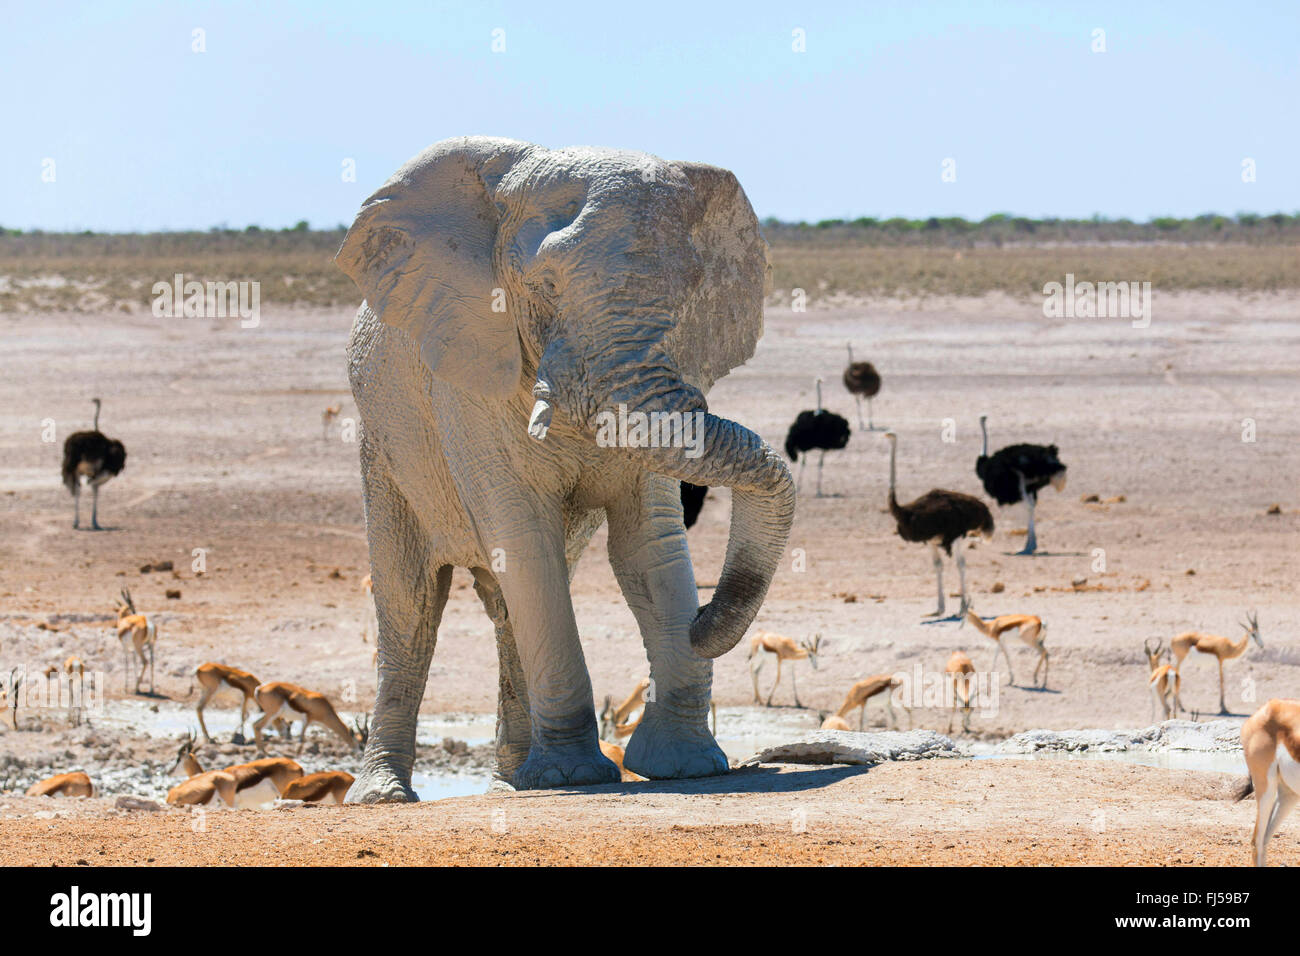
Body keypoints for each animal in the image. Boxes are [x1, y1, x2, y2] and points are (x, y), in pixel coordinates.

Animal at [335, 136, 790, 801]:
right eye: (545, 285)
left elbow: (648, 544)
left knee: (508, 606)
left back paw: (513, 785)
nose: (704, 620)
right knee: (410, 606)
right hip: (384, 453)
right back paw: (385, 796)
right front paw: (575, 777)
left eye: (688, 295)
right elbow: (525, 540)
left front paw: (688, 768)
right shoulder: (468, 375)